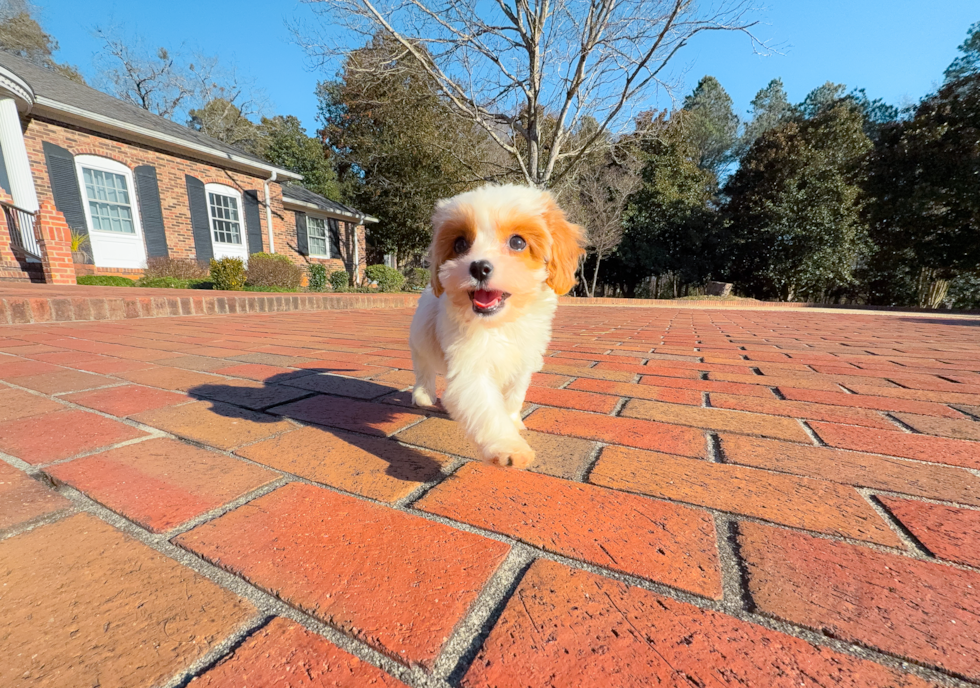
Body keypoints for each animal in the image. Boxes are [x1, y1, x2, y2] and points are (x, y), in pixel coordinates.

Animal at [406, 184, 580, 468]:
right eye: (460, 244)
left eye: (518, 242)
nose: (479, 267)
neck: (500, 324)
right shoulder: (470, 368)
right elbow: (487, 410)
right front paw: (510, 446)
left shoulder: (522, 361)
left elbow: (513, 396)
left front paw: (513, 421)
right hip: (421, 336)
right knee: (423, 366)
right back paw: (423, 395)